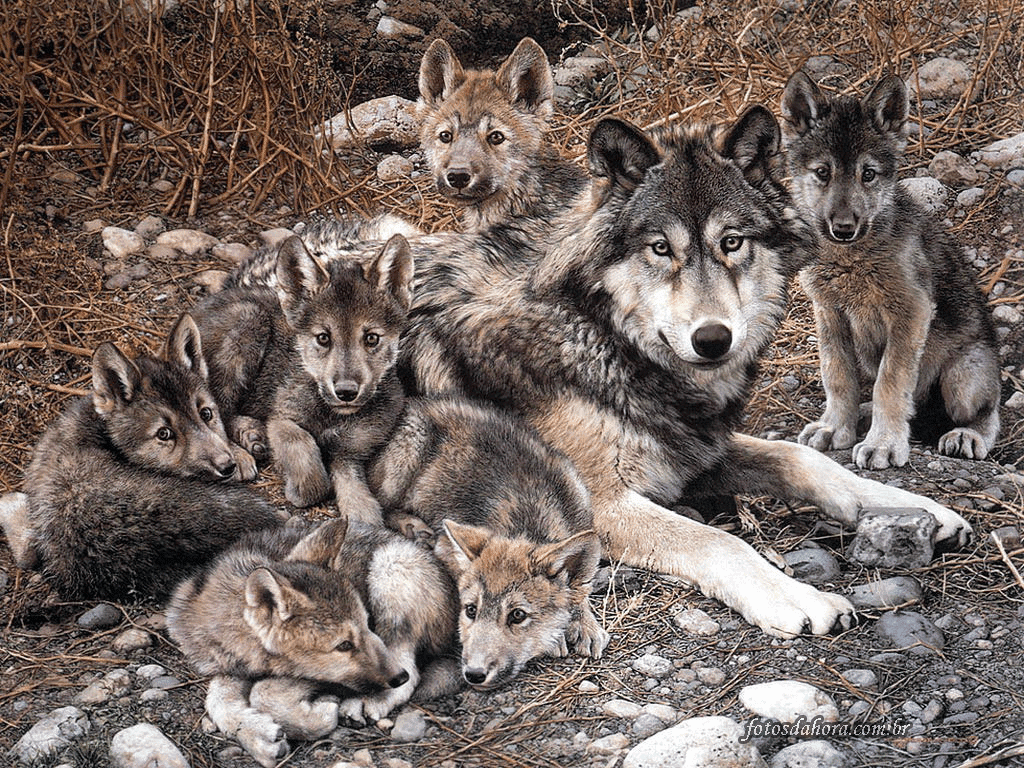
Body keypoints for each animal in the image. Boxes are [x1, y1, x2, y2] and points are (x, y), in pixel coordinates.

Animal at [167, 516, 457, 767]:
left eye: (368, 623)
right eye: (344, 645)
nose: (398, 677)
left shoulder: (314, 674)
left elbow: (263, 692)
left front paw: (316, 718)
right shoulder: (228, 667)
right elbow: (217, 702)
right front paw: (257, 735)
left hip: (391, 567)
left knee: (413, 670)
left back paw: (370, 700)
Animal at [191, 232, 414, 517]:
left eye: (372, 338)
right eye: (323, 338)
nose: (346, 392)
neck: (332, 415)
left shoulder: (350, 452)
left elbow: (359, 499)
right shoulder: (282, 419)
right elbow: (307, 459)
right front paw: (299, 490)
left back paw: (252, 435)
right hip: (247, 322)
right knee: (216, 407)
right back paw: (241, 452)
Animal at [368, 396, 608, 690]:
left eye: (517, 615)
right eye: (471, 610)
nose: (474, 674)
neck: (530, 518)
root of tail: (414, 402)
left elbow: (580, 591)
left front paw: (586, 625)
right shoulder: (446, 546)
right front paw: (559, 637)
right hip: (405, 459)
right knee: (382, 505)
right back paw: (414, 528)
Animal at [398, 106, 973, 639]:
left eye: (732, 242)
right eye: (661, 248)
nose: (713, 339)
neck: (601, 334)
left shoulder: (695, 449)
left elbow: (806, 460)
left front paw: (918, 509)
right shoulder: (598, 505)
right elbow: (721, 540)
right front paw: (797, 597)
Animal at [780, 71, 1001, 469]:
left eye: (868, 174)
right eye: (822, 173)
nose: (843, 228)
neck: (851, 259)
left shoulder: (911, 312)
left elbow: (891, 383)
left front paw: (883, 443)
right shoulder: (829, 312)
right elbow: (837, 377)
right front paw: (835, 427)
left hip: (964, 379)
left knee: (987, 414)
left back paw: (966, 435)